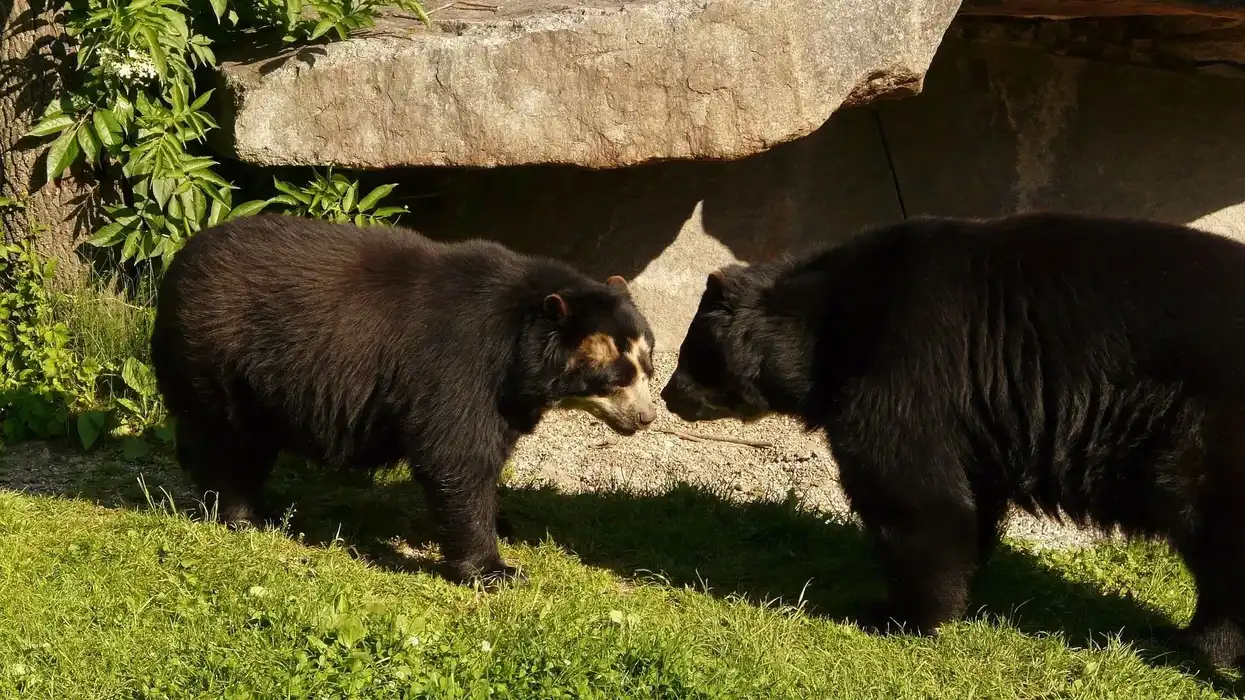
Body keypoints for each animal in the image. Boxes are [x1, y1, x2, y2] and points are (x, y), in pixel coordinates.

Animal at [150, 213, 657, 584]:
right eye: (616, 376)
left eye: (647, 364)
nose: (647, 417)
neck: (521, 349)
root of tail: (178, 262)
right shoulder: (461, 362)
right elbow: (457, 453)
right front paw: (496, 570)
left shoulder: (508, 393)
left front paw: (504, 524)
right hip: (220, 356)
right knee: (231, 441)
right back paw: (244, 515)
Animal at [660, 211, 1245, 670]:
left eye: (690, 352)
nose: (668, 395)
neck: (833, 328)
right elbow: (968, 495)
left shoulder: (910, 365)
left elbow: (912, 489)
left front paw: (898, 614)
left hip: (1207, 430)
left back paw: (1196, 642)